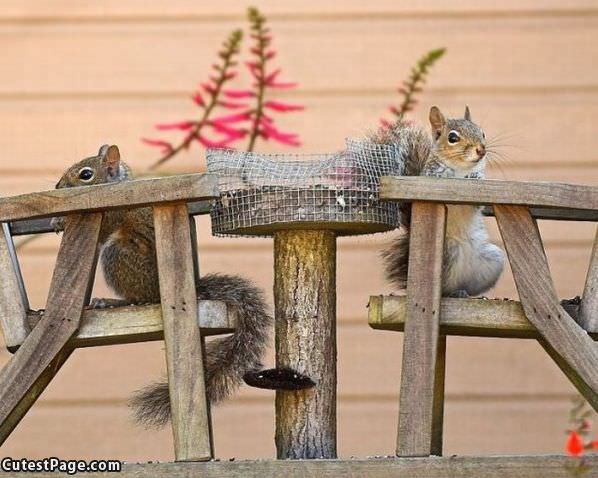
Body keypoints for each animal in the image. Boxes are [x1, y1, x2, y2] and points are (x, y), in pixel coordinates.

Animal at [54, 146, 314, 430]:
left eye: (85, 175)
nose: (57, 186)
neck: (116, 186)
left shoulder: (114, 213)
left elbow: (101, 230)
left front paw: (60, 220)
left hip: (118, 255)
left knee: (142, 298)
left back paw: (112, 301)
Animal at [376, 106, 506, 296]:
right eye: (452, 138)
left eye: (482, 133)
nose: (481, 151)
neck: (461, 169)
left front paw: (476, 175)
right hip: (449, 253)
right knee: (445, 288)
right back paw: (452, 293)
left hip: (494, 259)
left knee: (470, 287)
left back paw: (468, 294)